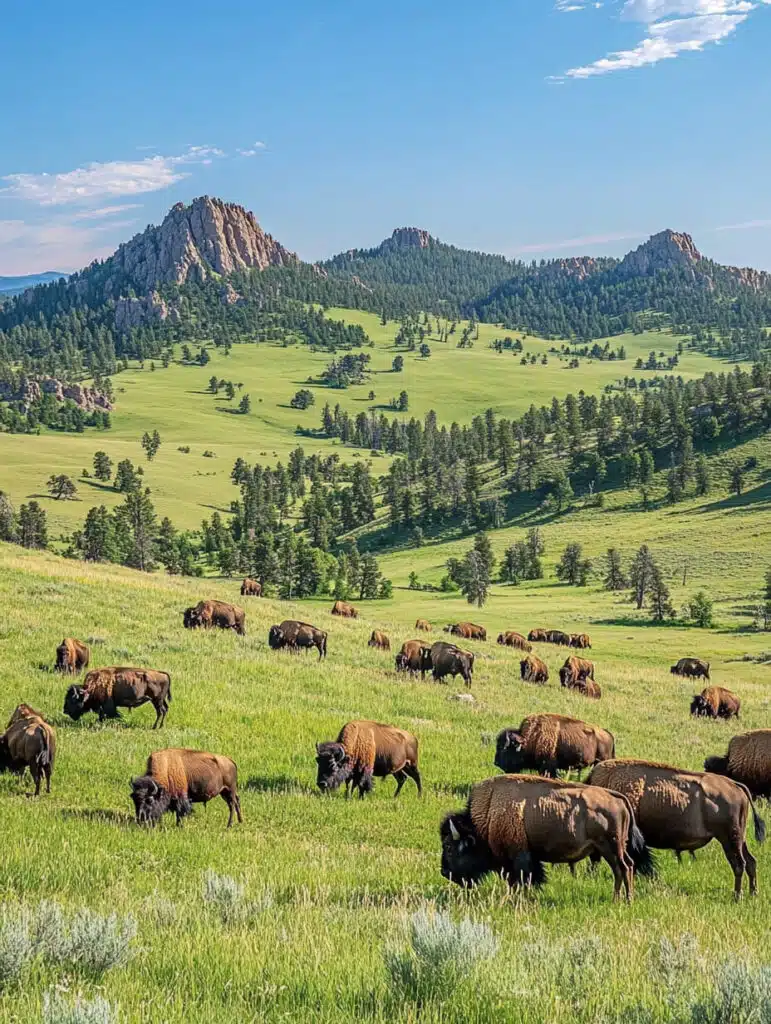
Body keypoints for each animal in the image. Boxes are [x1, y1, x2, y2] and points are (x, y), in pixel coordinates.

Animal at [438, 778, 651, 901]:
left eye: (448, 846)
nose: (444, 872)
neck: (489, 813)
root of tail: (616, 797)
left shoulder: (519, 856)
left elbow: (523, 878)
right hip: (613, 849)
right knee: (623, 868)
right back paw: (619, 899)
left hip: (611, 848)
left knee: (624, 868)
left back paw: (626, 900)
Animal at [589, 761, 765, 897]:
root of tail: (736, 785)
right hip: (739, 839)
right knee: (751, 862)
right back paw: (752, 893)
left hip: (729, 839)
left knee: (739, 864)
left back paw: (737, 896)